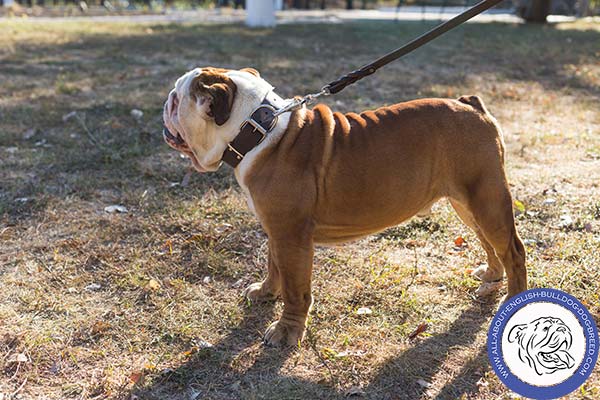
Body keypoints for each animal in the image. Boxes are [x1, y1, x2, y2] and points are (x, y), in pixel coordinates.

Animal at [162, 67, 528, 346]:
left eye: (177, 99)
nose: (166, 101)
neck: (258, 129)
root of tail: (471, 105)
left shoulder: (291, 237)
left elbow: (295, 289)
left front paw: (286, 331)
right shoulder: (276, 231)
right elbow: (273, 266)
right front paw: (266, 292)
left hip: (486, 199)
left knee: (513, 250)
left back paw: (513, 300)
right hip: (467, 203)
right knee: (487, 242)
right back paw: (491, 277)